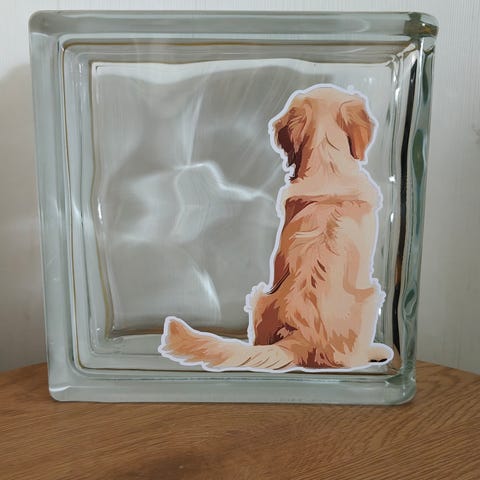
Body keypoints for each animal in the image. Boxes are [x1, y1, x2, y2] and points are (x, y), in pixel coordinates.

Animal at [159, 84, 393, 372]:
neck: (327, 164)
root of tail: (299, 336)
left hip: (260, 296)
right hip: (373, 294)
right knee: (348, 360)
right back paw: (376, 352)